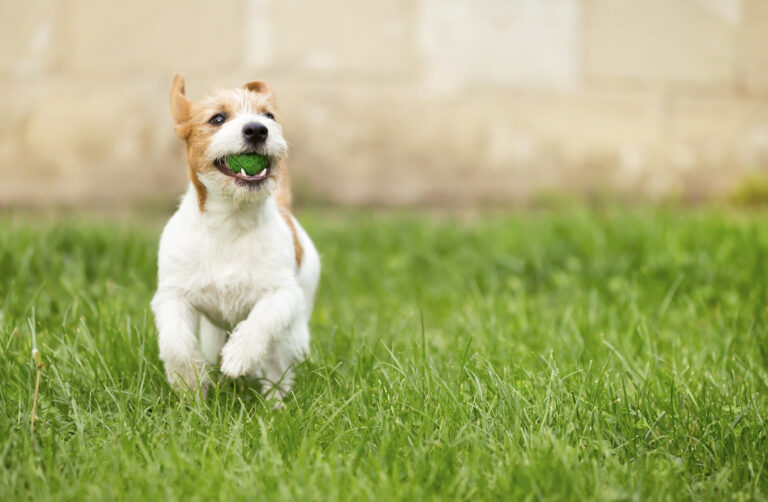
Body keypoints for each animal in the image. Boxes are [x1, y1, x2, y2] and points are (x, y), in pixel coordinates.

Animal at [152, 74, 320, 400]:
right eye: (217, 118)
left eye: (269, 116)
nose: (257, 129)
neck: (231, 221)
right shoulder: (172, 295)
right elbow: (176, 342)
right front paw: (189, 381)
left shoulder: (283, 293)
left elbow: (263, 319)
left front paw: (239, 356)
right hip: (212, 332)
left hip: (295, 328)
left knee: (278, 364)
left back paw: (275, 402)